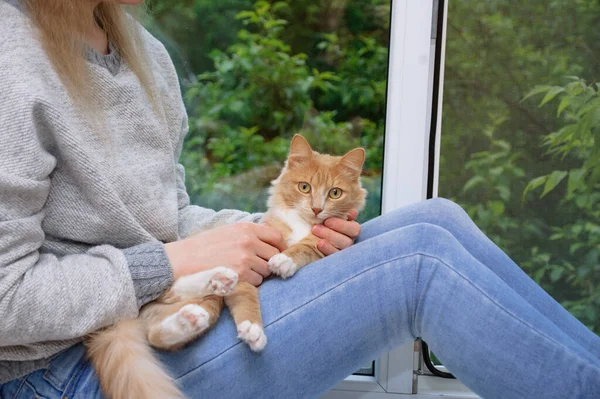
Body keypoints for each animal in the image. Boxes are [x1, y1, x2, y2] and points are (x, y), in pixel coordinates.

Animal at [84, 136, 366, 398]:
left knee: (159, 333)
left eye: (335, 193)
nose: (317, 209)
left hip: (201, 307)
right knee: (168, 294)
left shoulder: (319, 244)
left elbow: (305, 248)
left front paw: (285, 260)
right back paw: (216, 282)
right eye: (304, 187)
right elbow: (248, 301)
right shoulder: (251, 268)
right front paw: (253, 329)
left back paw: (201, 303)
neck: (302, 224)